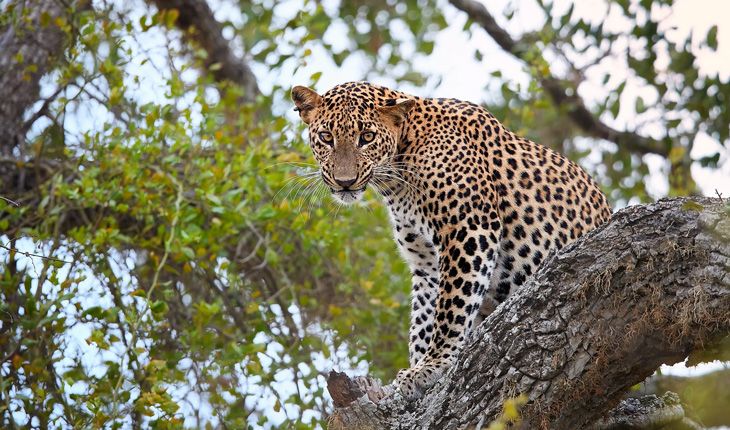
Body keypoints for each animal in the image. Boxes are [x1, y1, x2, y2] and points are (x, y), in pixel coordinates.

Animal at [290, 80, 608, 400]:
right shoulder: (426, 262)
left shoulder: (469, 229)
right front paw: (418, 368)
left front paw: (433, 366)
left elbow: (452, 307)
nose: (345, 182)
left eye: (366, 137)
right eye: (326, 137)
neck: (397, 178)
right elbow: (425, 318)